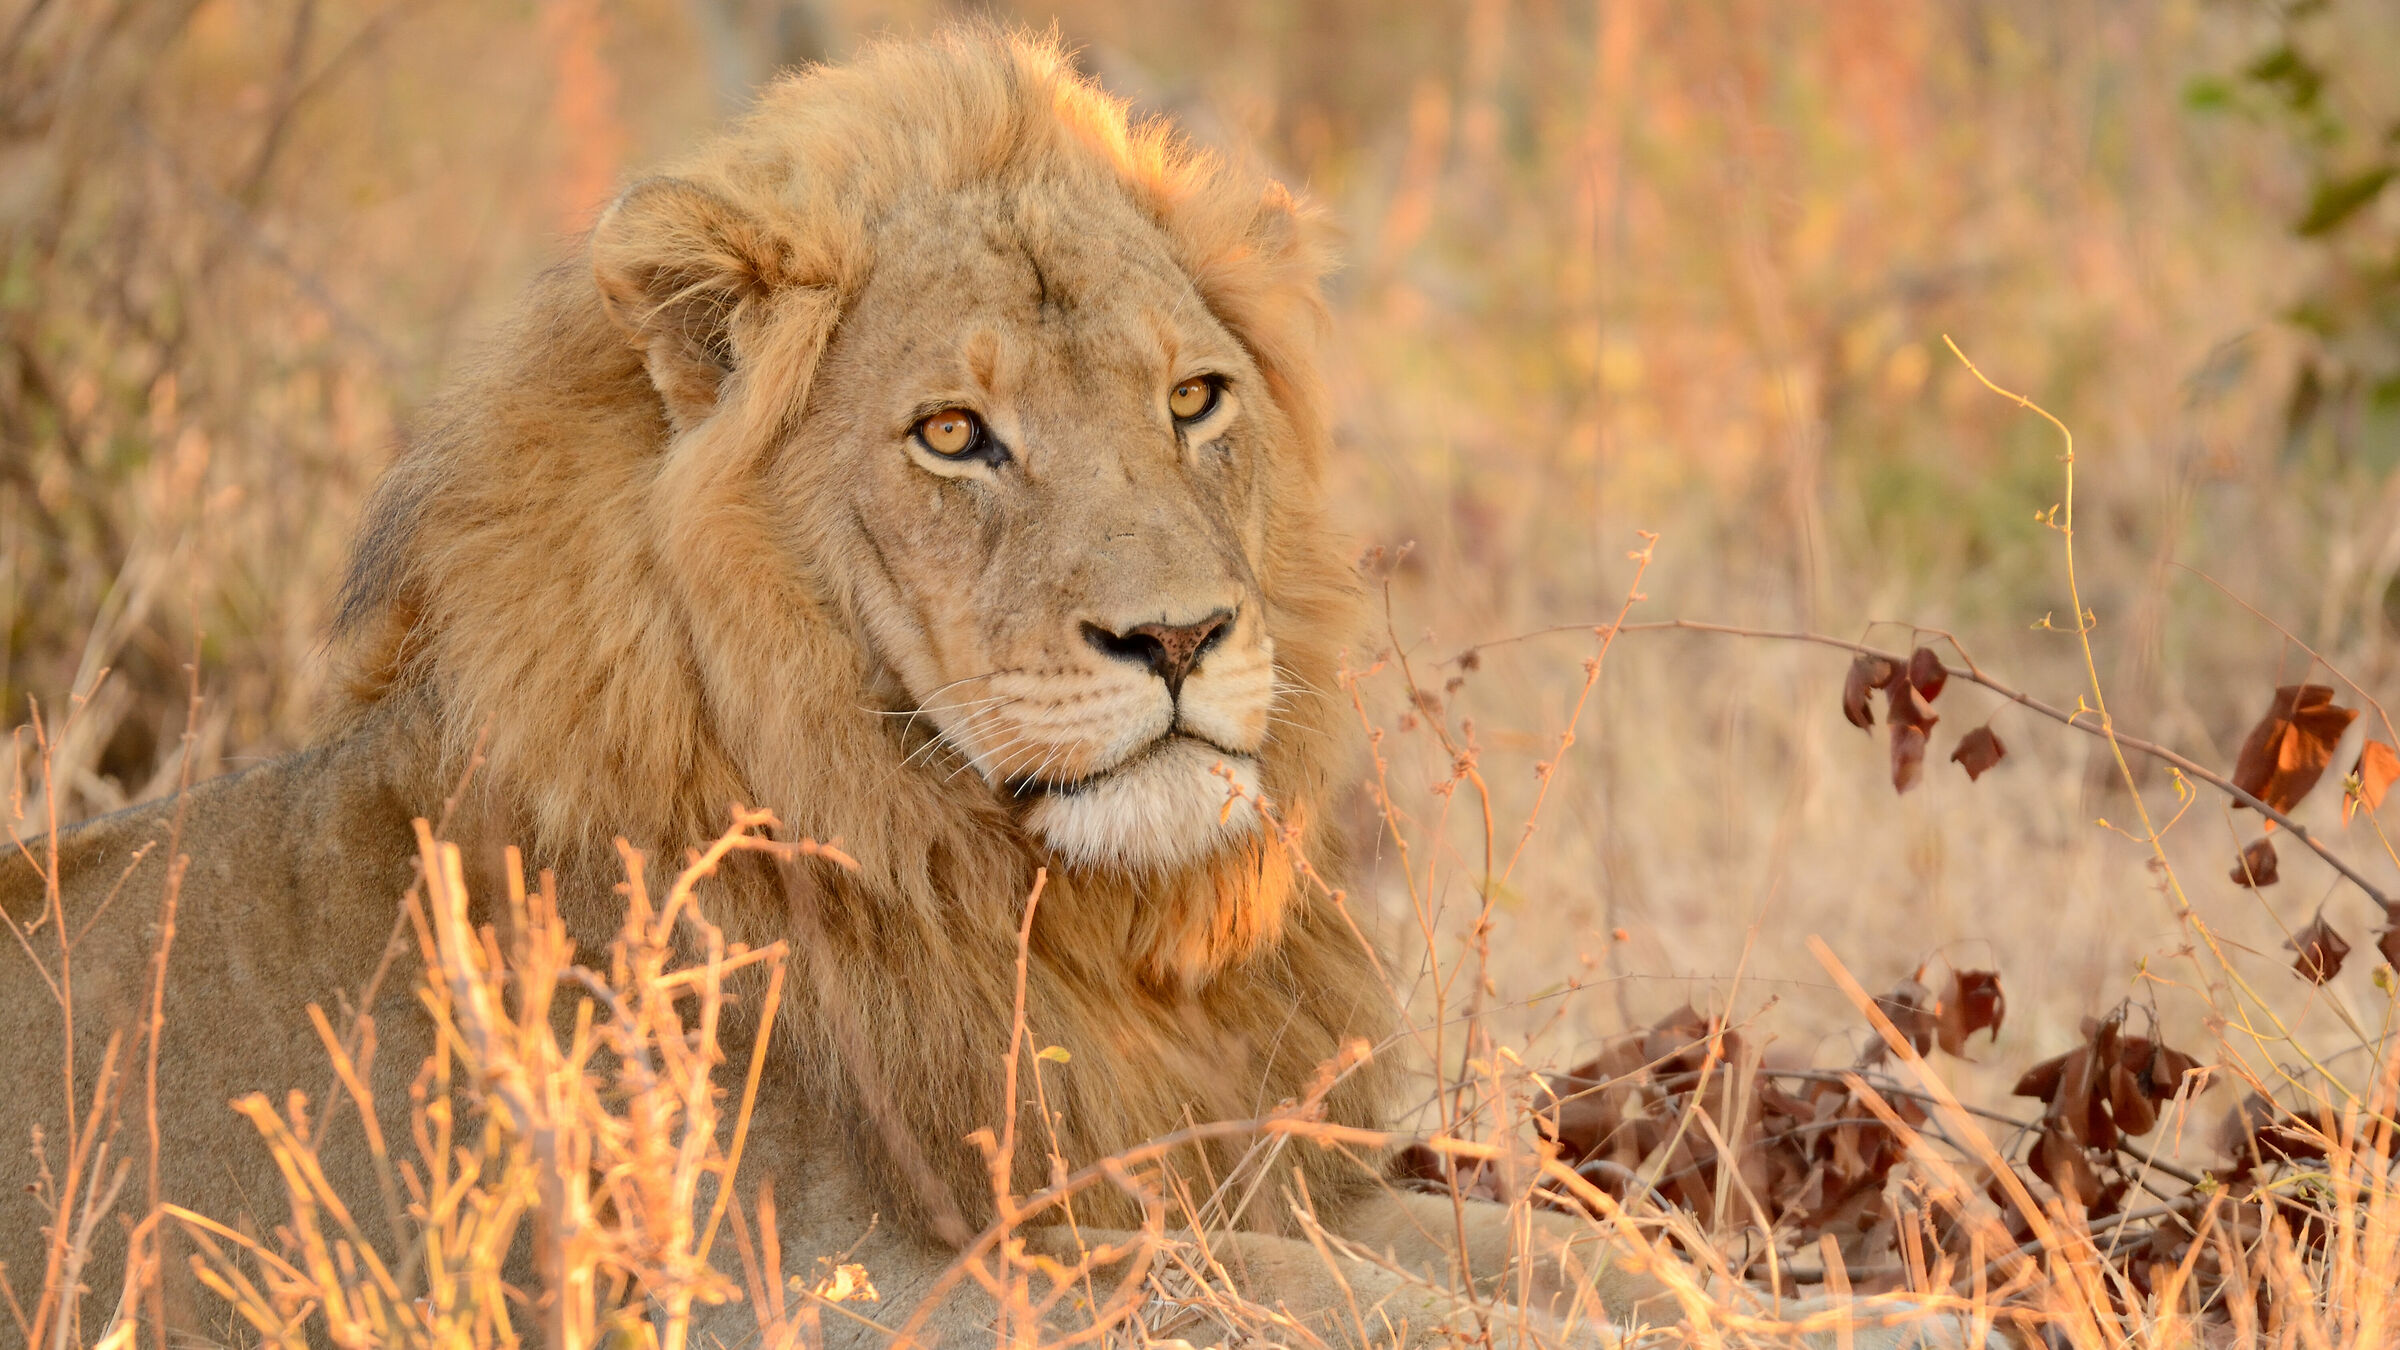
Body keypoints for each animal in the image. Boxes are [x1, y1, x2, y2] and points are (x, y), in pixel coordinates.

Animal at [2, 30, 1980, 1350]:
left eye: (1193, 398)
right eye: (955, 436)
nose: (1179, 639)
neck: (1031, 904)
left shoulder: (1239, 1157)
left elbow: (1569, 1253)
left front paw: (1907, 1314)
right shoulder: (839, 1284)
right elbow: (1326, 1303)